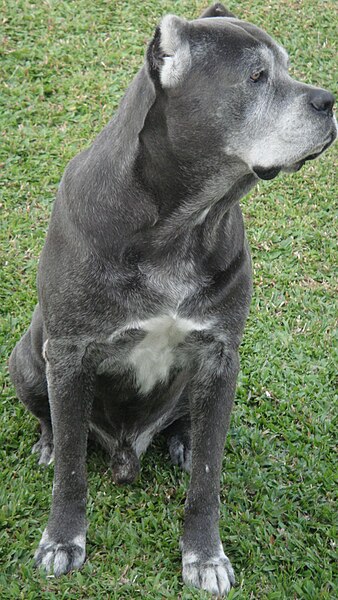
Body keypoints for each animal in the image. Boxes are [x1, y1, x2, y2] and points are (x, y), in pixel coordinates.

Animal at [7, 2, 336, 596]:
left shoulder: (220, 357)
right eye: (257, 76)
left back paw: (180, 440)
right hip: (26, 355)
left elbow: (208, 476)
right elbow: (71, 472)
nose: (329, 101)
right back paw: (47, 442)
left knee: (188, 426)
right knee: (55, 424)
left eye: (287, 67)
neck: (181, 224)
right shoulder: (68, 354)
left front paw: (204, 555)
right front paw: (62, 542)